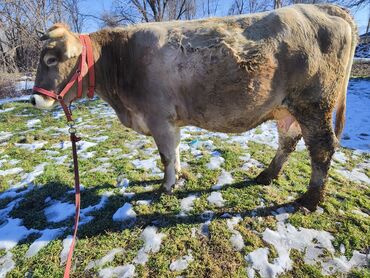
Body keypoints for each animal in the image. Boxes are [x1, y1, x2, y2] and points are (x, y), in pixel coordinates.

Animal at [31, 4, 358, 211]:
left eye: (51, 59)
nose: (35, 99)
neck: (119, 58)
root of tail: (324, 8)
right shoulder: (170, 121)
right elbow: (174, 151)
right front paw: (180, 176)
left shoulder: (158, 118)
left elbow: (165, 156)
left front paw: (166, 186)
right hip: (287, 108)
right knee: (288, 141)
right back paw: (267, 175)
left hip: (314, 104)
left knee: (322, 149)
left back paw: (310, 200)